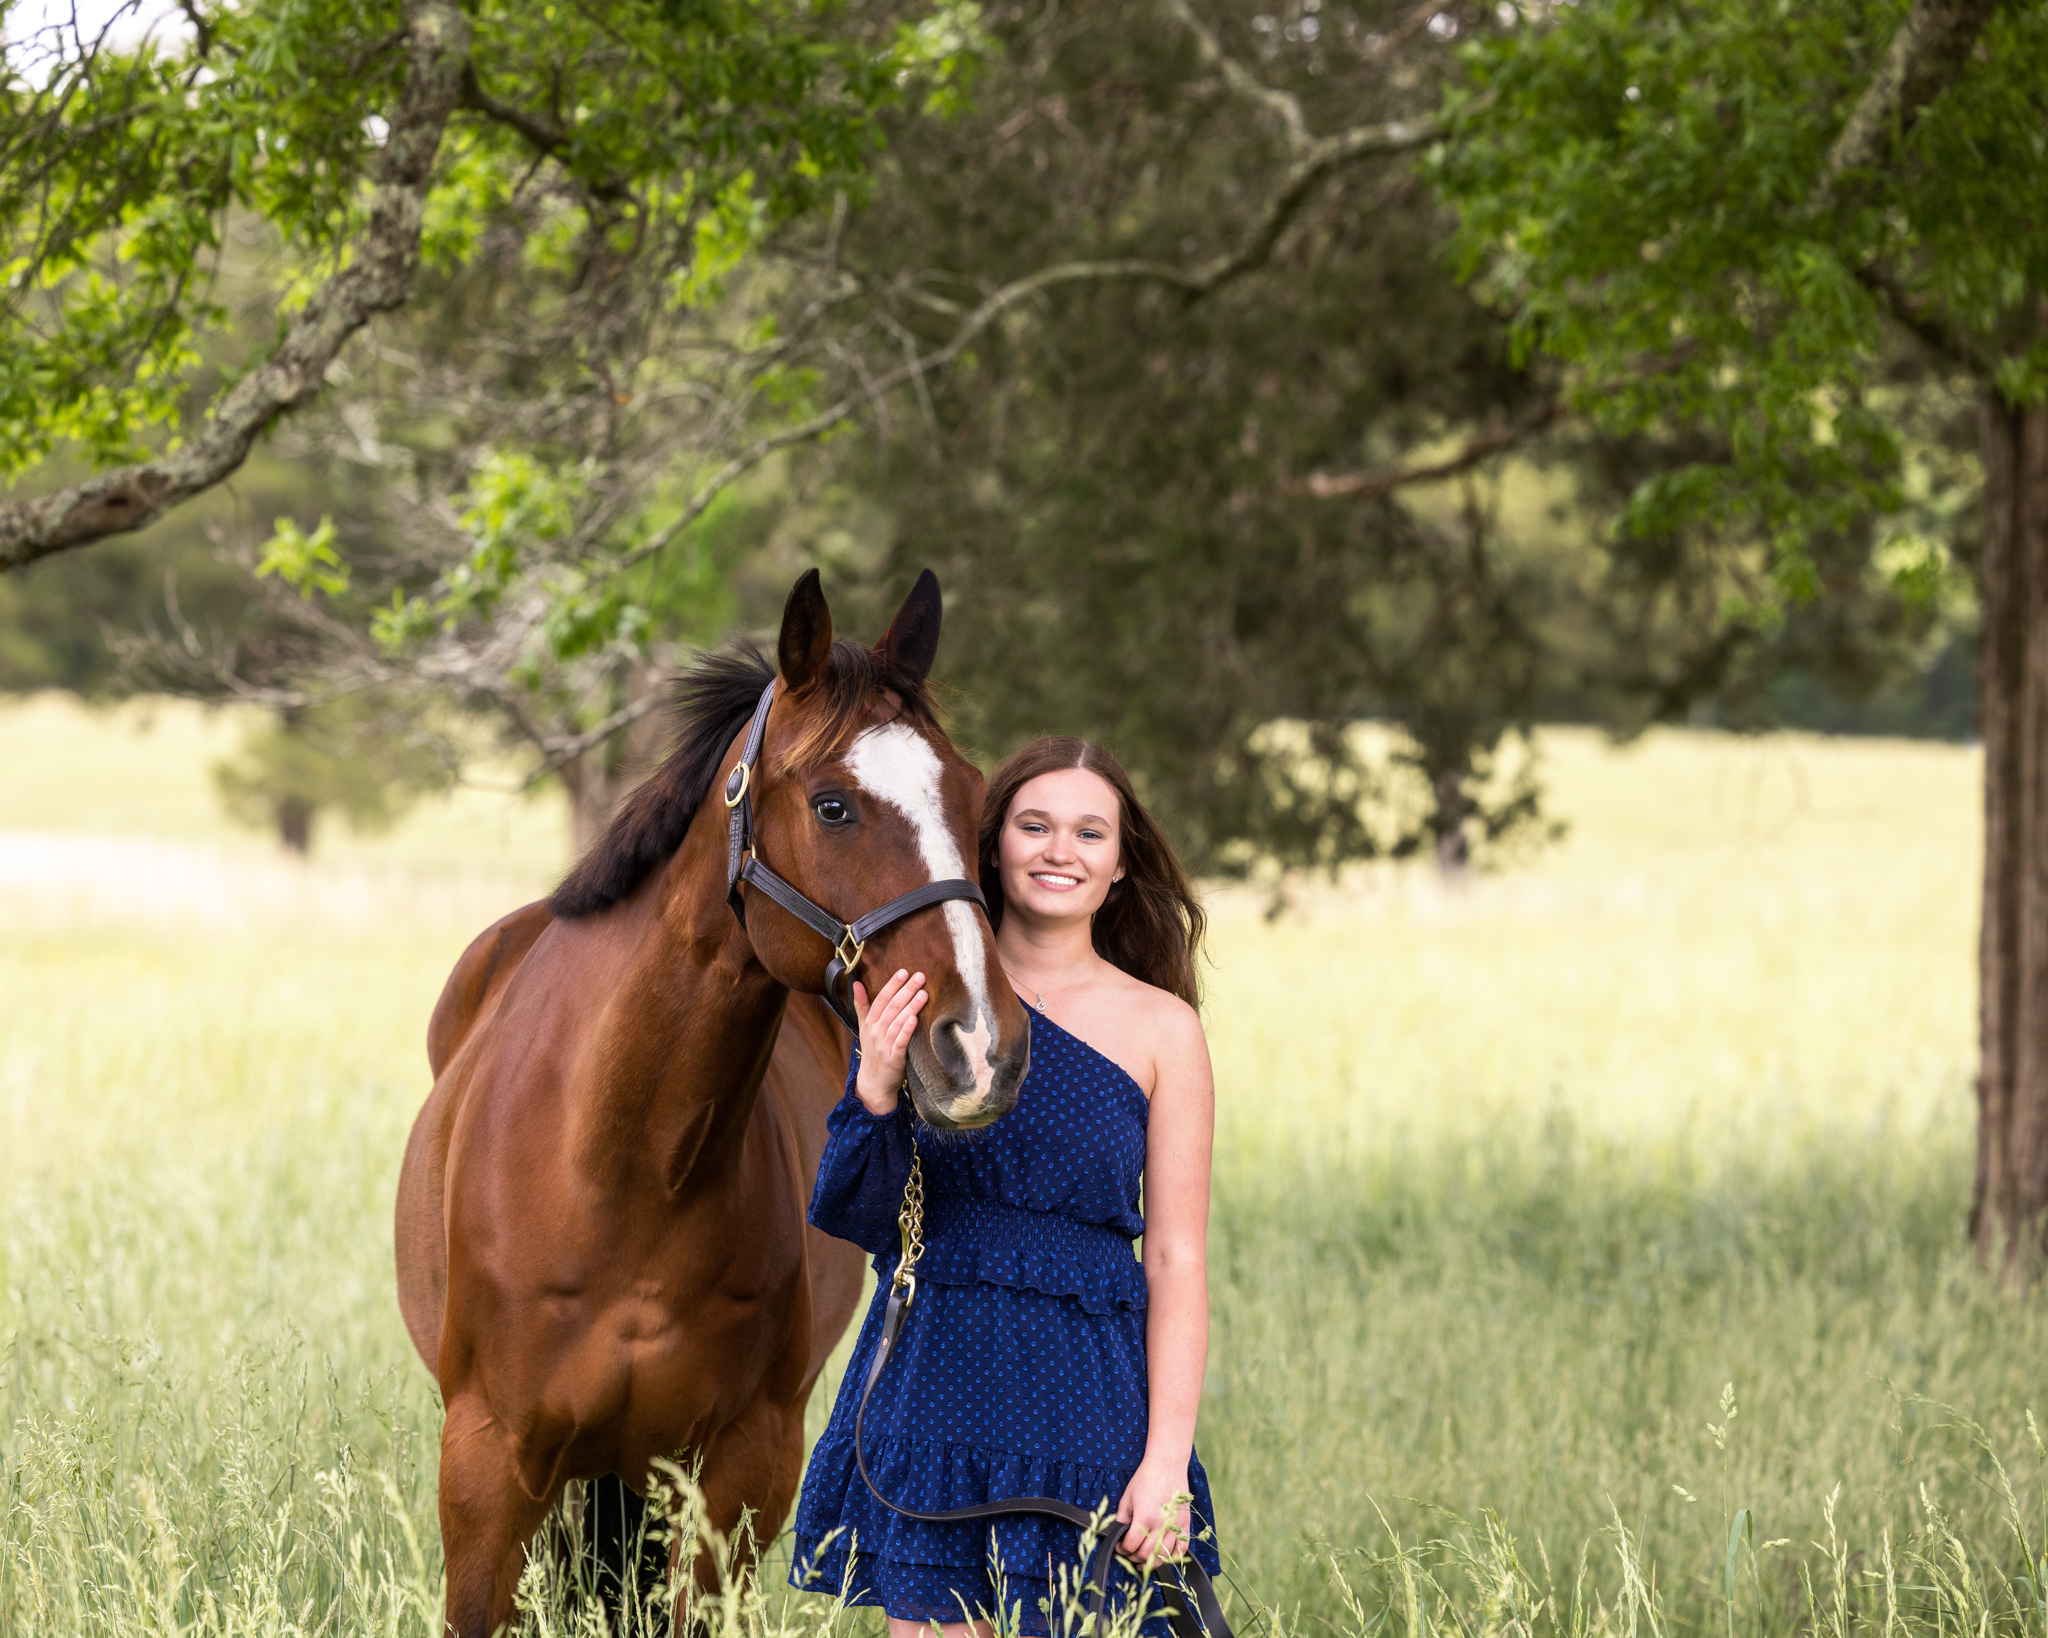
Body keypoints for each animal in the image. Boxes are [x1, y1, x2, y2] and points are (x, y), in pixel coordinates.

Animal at [397, 569, 1032, 1629]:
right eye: (832, 806)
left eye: (975, 794)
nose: (983, 1046)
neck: (624, 1170)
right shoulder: (489, 1466)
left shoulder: (740, 1473)